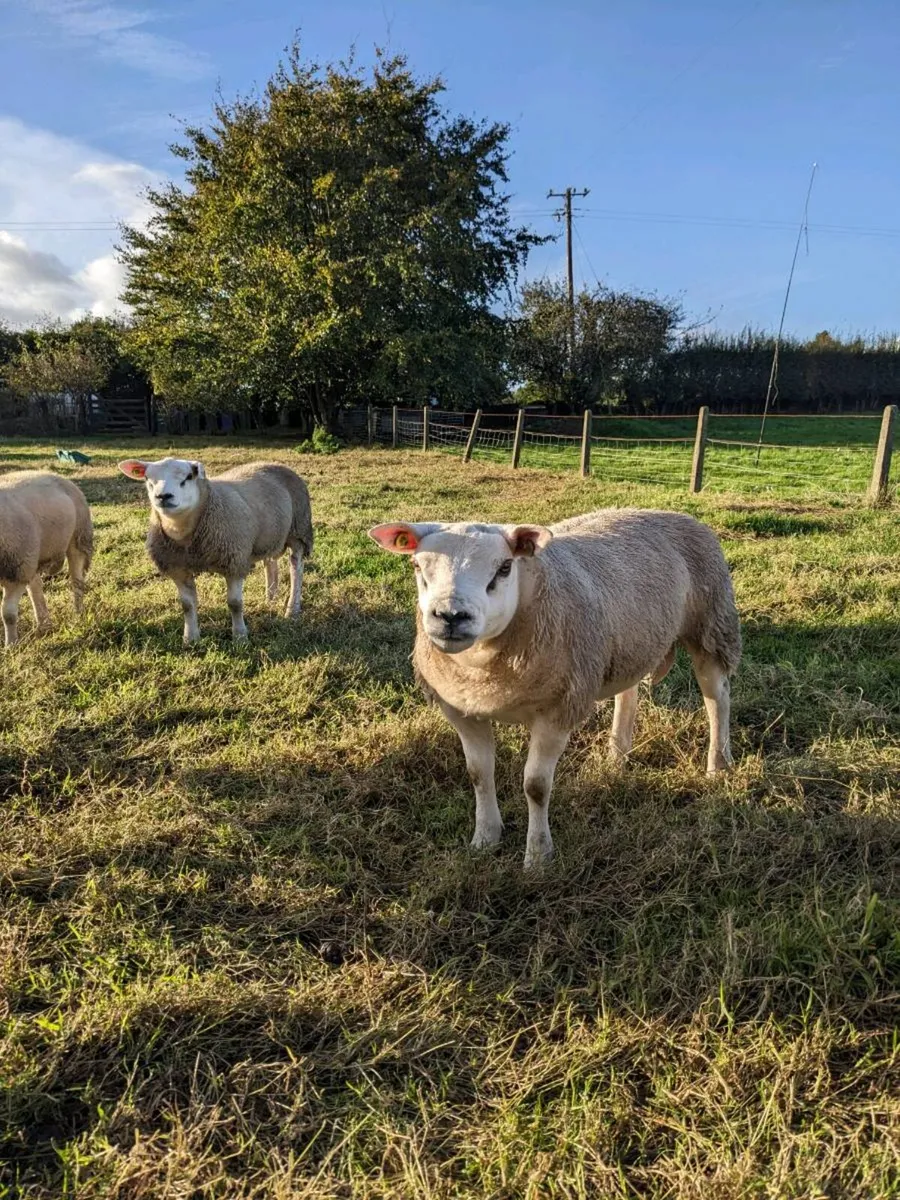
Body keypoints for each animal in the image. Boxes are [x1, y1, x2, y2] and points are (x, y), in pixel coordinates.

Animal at [0, 470, 93, 648]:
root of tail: (51, 473)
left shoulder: (18, 571)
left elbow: (8, 614)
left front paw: (11, 645)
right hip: (34, 553)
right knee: (36, 586)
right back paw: (44, 624)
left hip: (78, 536)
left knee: (76, 580)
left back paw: (78, 614)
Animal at [118, 457, 313, 644]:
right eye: (147, 478)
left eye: (189, 477)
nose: (163, 496)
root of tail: (274, 463)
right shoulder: (177, 568)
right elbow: (187, 605)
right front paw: (190, 639)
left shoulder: (234, 562)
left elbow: (235, 603)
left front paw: (240, 637)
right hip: (269, 536)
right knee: (270, 564)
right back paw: (270, 599)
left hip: (299, 530)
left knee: (296, 569)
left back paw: (292, 609)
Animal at [369, 509, 741, 868]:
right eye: (417, 566)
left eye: (504, 567)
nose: (450, 616)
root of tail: (675, 513)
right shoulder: (462, 710)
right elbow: (479, 774)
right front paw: (485, 839)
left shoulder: (557, 710)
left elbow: (535, 786)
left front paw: (537, 857)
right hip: (628, 643)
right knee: (629, 692)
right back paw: (616, 756)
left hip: (711, 624)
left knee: (717, 697)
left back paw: (717, 764)